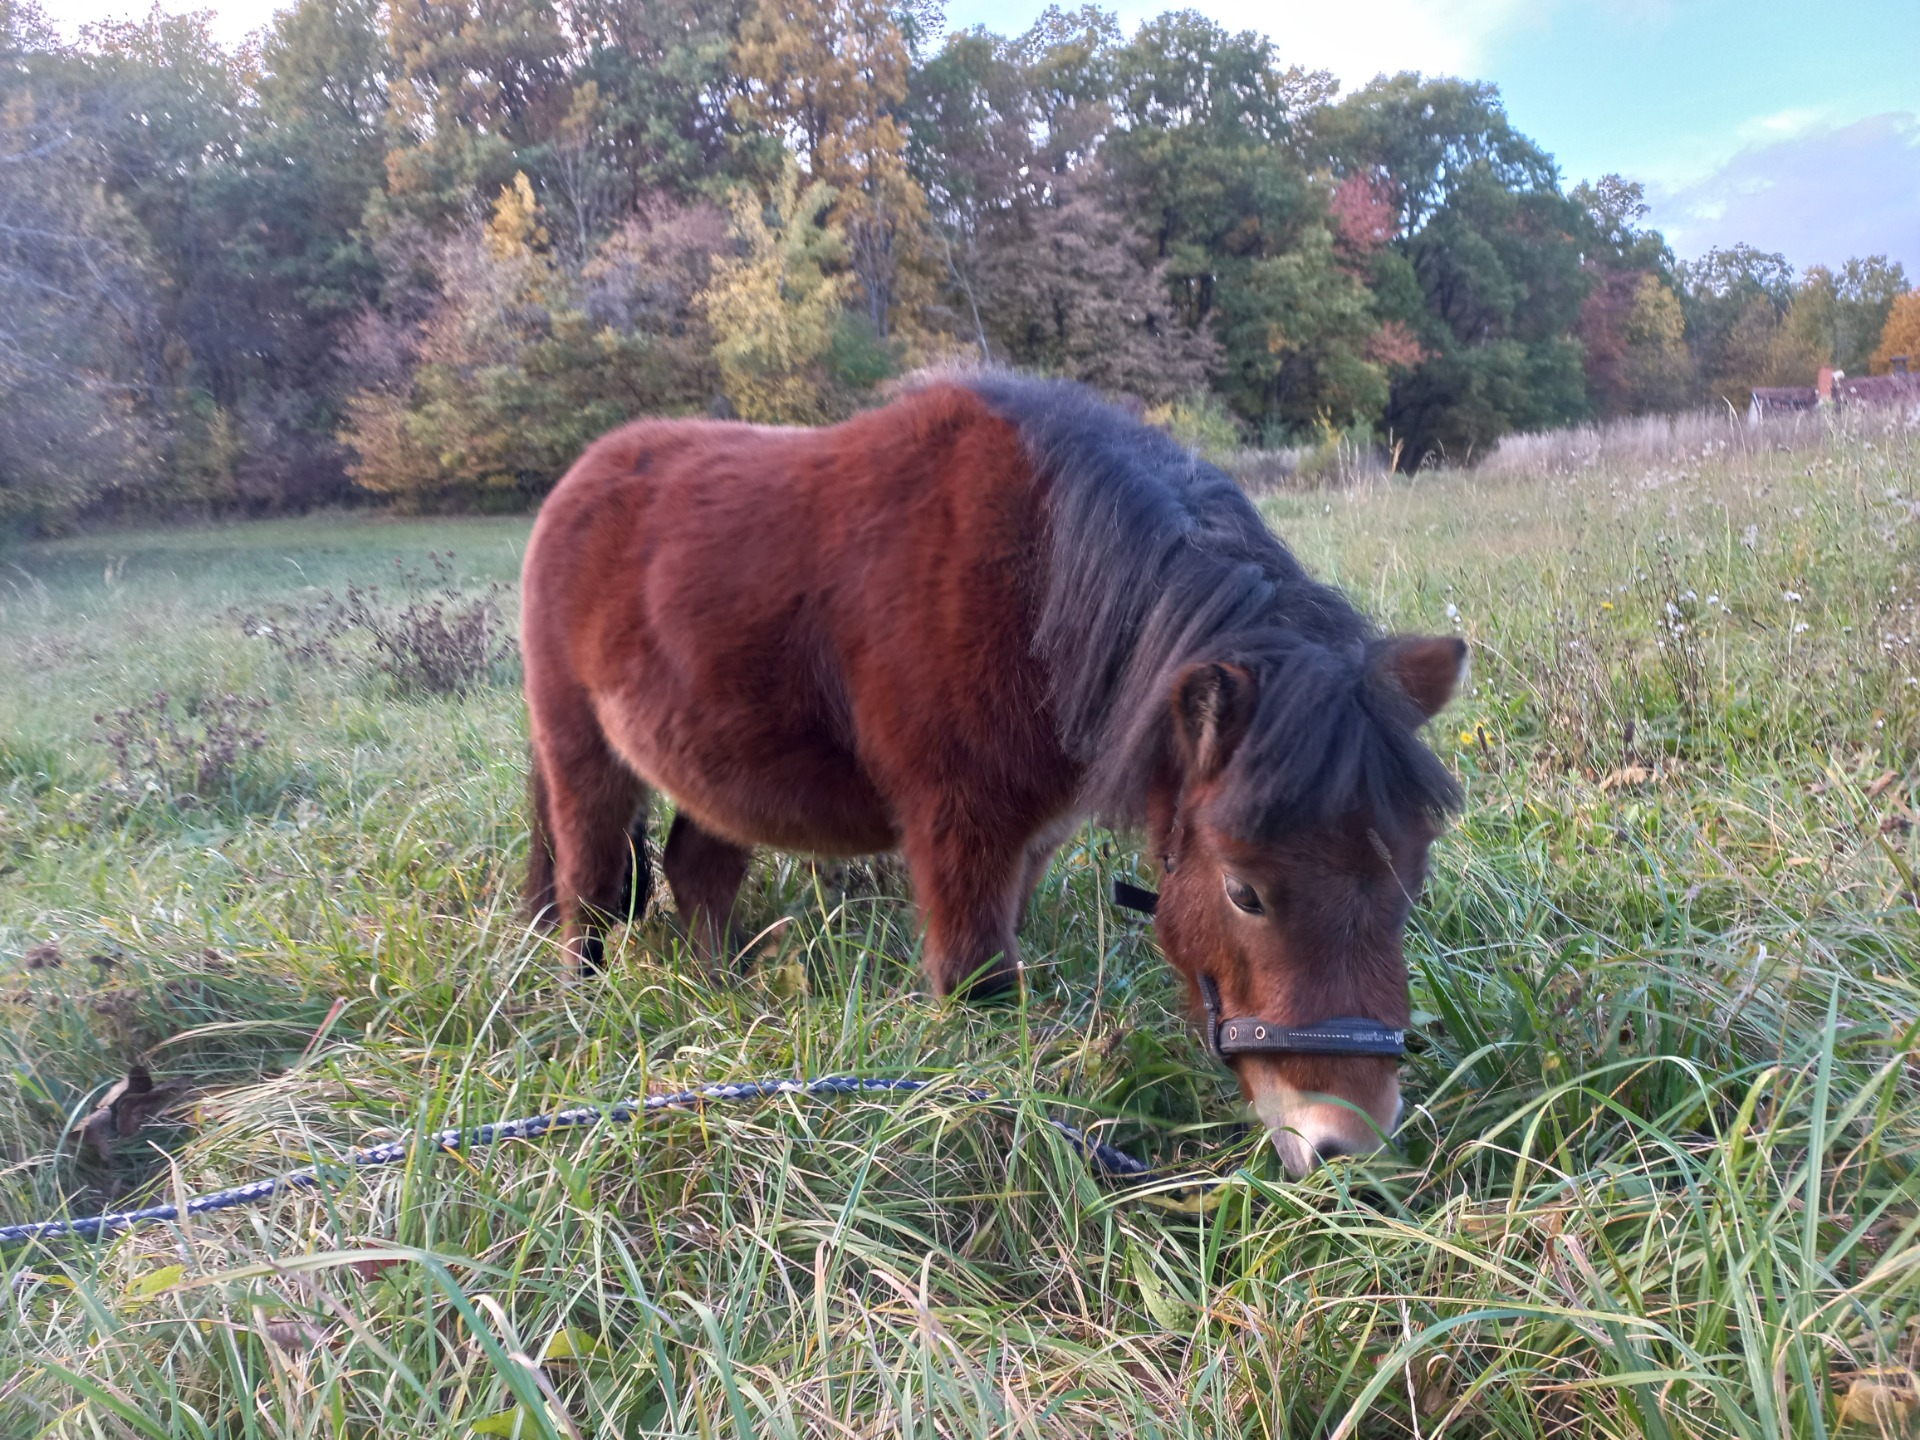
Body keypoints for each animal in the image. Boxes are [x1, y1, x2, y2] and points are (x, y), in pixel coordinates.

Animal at [520, 374, 1466, 1173]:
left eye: (1412, 877)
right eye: (1245, 894)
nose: (1348, 1145)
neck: (1041, 585)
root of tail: (577, 482)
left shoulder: (1026, 843)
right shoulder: (959, 833)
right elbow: (979, 984)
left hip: (718, 775)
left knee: (698, 875)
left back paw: (723, 996)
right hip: (581, 755)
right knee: (587, 891)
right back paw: (580, 1005)